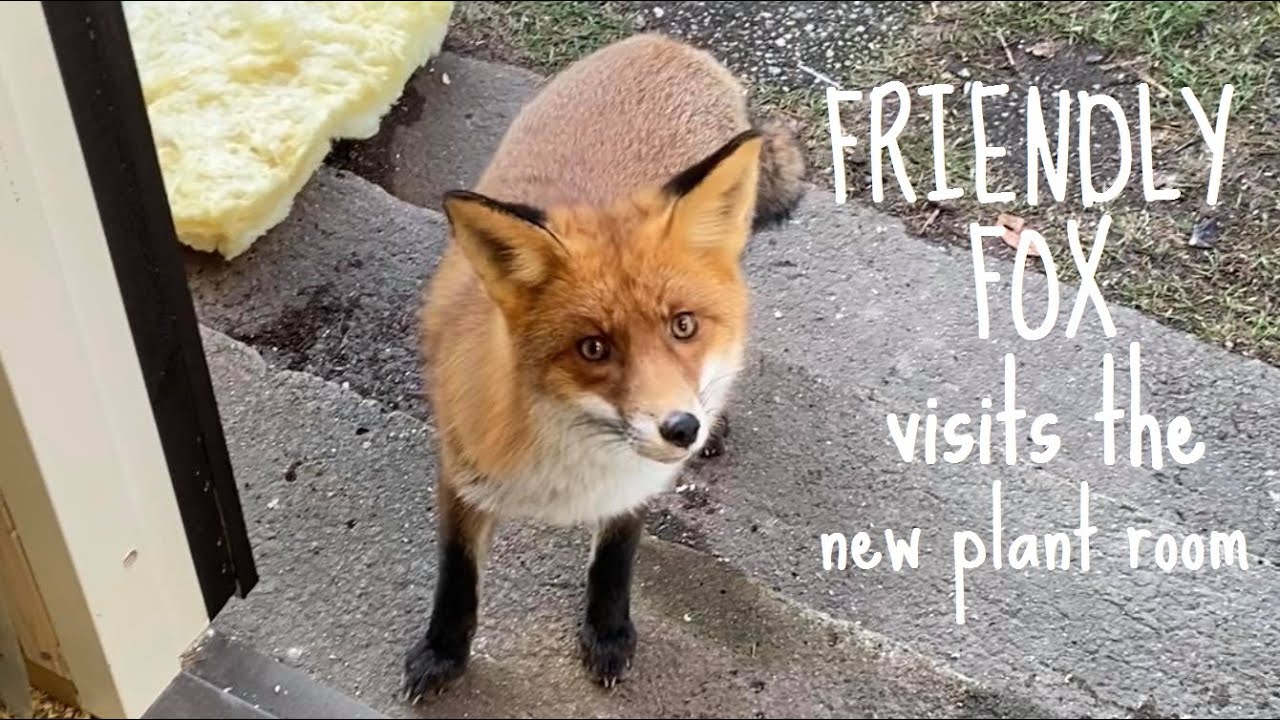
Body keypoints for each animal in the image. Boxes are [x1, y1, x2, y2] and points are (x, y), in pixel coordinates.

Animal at [403, 32, 806, 700]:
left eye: (683, 326)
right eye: (593, 348)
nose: (682, 428)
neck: (568, 460)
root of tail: (663, 41)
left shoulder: (633, 486)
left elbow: (615, 560)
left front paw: (608, 633)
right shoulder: (460, 473)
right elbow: (456, 577)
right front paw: (443, 653)